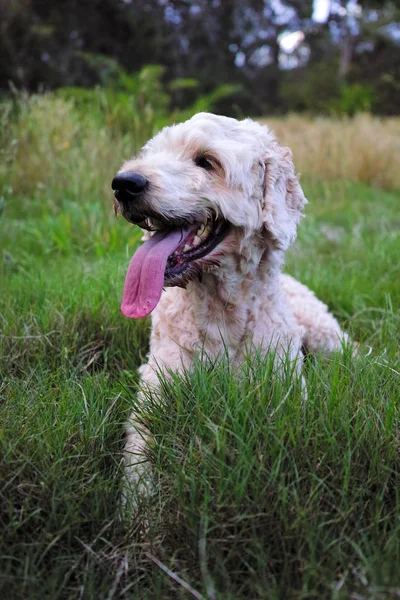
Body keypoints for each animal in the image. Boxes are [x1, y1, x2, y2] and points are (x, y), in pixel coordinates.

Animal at [111, 111, 350, 492]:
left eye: (207, 161)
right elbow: (137, 469)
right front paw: (138, 508)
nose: (123, 183)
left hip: (326, 335)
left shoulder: (286, 399)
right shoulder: (152, 399)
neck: (221, 313)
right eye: (153, 154)